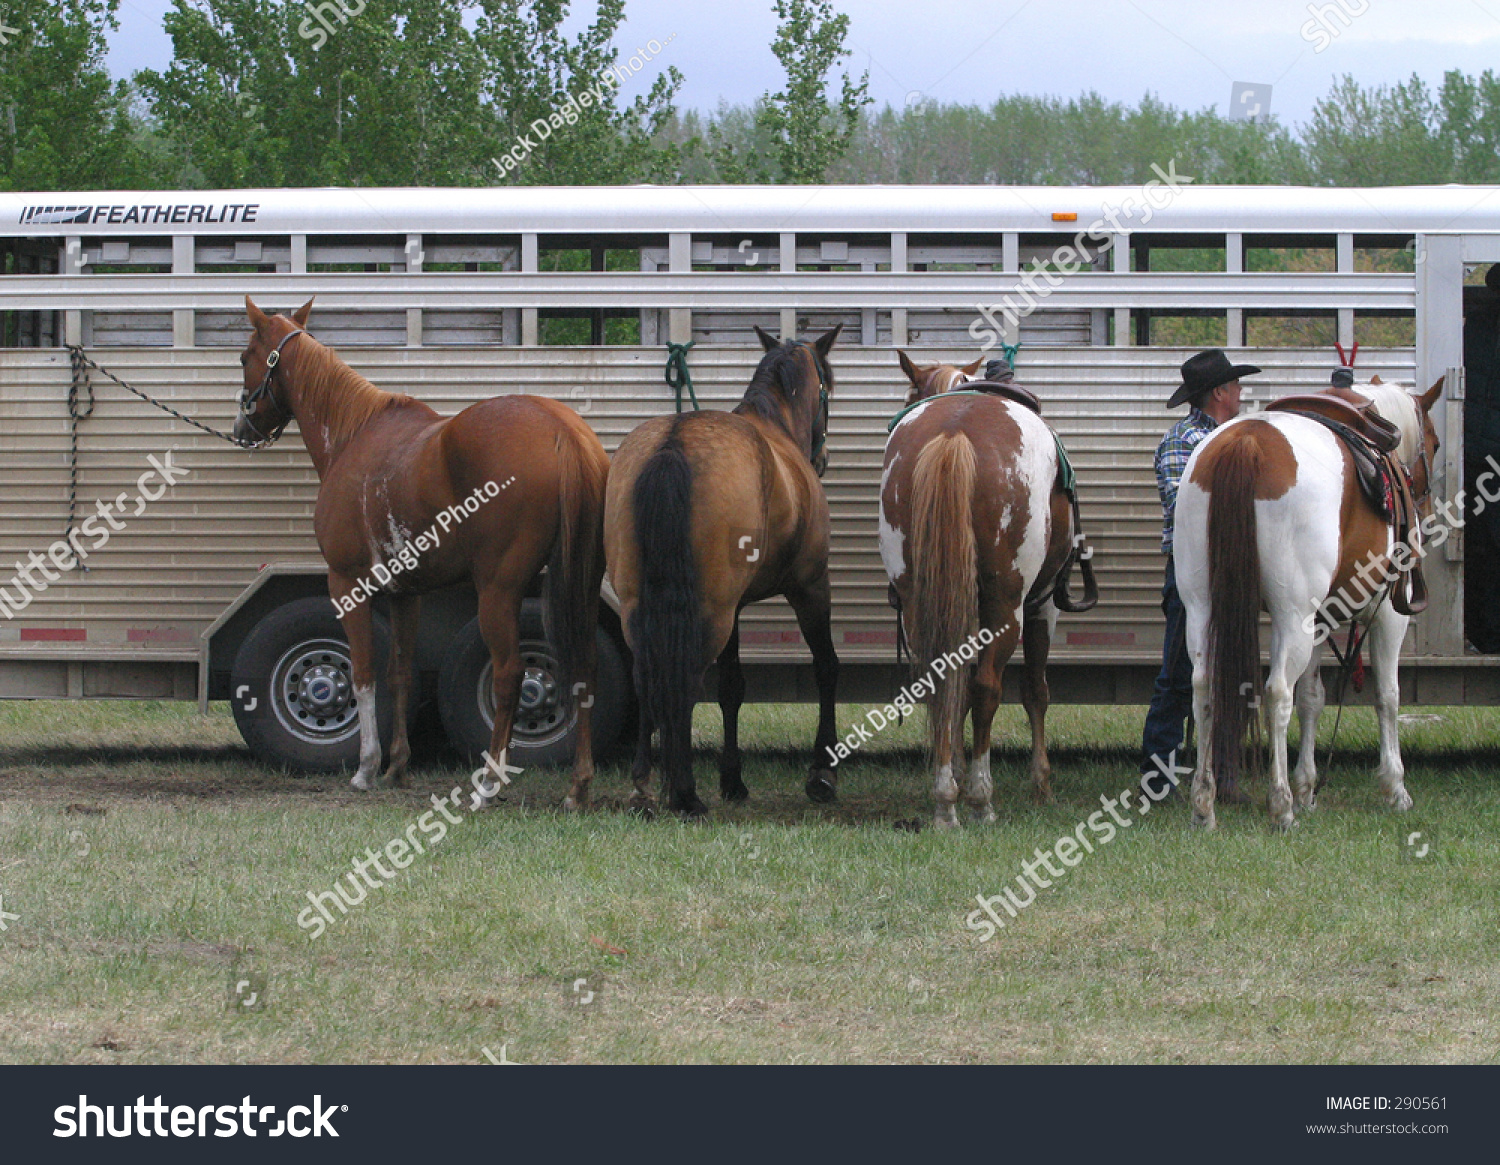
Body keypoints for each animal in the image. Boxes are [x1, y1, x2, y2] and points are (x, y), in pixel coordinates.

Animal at [234, 299, 609, 803]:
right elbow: (400, 672)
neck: (353, 435)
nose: (242, 426)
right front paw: (397, 766)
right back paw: (578, 785)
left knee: (511, 674)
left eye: (244, 358)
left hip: (498, 590)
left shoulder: (347, 583)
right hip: (580, 583)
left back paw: (488, 783)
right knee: (584, 663)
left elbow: (363, 673)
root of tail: (561, 430)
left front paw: (366, 768)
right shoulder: (404, 593)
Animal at [606, 325, 846, 815]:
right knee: (686, 677)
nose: (824, 457)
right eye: (827, 387)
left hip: (643, 607)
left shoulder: (734, 606)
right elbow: (826, 667)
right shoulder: (811, 586)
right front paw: (822, 770)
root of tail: (673, 442)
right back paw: (684, 792)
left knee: (646, 674)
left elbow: (732, 687)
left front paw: (733, 778)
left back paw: (643, 783)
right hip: (711, 612)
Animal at [882, 353, 1098, 827]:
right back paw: (980, 800)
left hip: (917, 600)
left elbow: (955, 693)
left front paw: (958, 773)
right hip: (1006, 604)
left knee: (938, 682)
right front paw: (1041, 783)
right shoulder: (1041, 610)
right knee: (986, 688)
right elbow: (1035, 691)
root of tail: (955, 432)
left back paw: (946, 798)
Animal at [1176, 374, 1446, 827]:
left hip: (1202, 606)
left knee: (1204, 687)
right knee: (1277, 692)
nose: (1423, 509)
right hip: (1292, 615)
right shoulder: (1389, 617)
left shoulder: (1320, 621)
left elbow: (1313, 699)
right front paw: (1395, 787)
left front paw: (1307, 787)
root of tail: (1247, 441)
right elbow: (1387, 697)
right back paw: (1280, 805)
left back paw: (1203, 804)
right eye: (1437, 443)